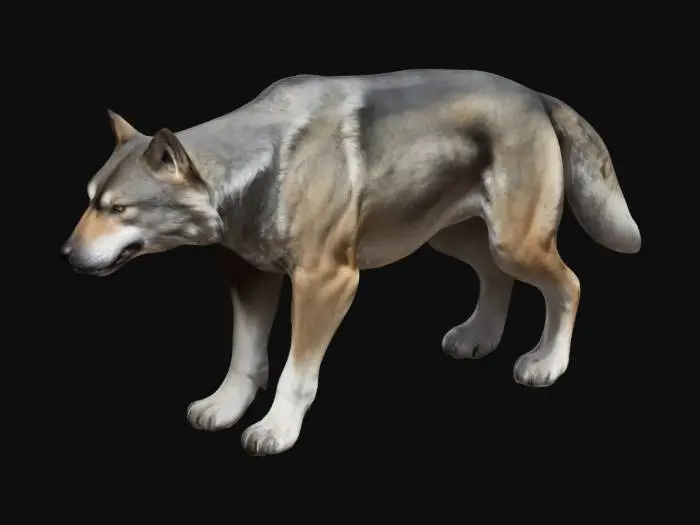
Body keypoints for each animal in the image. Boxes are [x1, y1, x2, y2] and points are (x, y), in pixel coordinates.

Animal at [61, 69, 641, 455]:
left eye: (118, 209)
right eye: (88, 201)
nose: (65, 255)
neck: (260, 169)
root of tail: (537, 95)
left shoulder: (327, 284)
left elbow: (295, 372)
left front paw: (276, 430)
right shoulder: (251, 277)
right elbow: (245, 357)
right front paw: (225, 407)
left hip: (514, 242)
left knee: (569, 284)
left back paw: (547, 363)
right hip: (452, 236)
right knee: (497, 277)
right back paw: (479, 337)